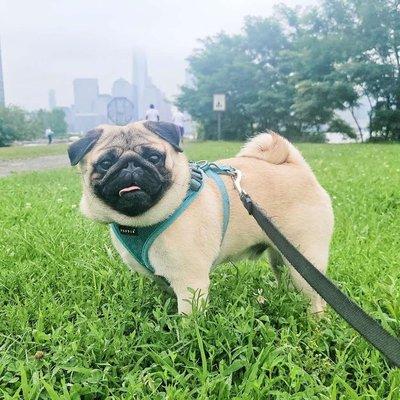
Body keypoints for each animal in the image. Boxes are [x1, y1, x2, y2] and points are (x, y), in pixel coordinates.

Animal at [69, 120, 334, 314]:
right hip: (281, 255)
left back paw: (315, 322)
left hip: (306, 260)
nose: (130, 165)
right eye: (105, 163)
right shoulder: (163, 278)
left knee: (315, 298)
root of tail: (296, 167)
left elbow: (188, 319)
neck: (138, 223)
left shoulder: (190, 282)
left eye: (154, 158)